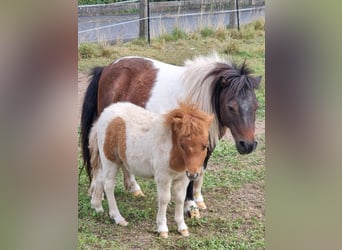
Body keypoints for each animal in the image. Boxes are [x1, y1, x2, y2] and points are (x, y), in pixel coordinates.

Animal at [81, 53, 262, 218]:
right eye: (231, 107)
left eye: (256, 106)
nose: (248, 145)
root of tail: (107, 68)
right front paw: (190, 206)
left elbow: (200, 171)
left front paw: (198, 200)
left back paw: (133, 188)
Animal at [87, 102, 212, 238]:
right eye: (182, 145)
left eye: (205, 145)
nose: (194, 174)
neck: (172, 148)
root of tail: (104, 114)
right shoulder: (163, 177)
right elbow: (164, 199)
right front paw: (162, 228)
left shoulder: (183, 178)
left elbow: (180, 198)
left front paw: (182, 227)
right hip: (110, 160)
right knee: (109, 185)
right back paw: (118, 218)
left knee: (99, 177)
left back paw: (97, 207)